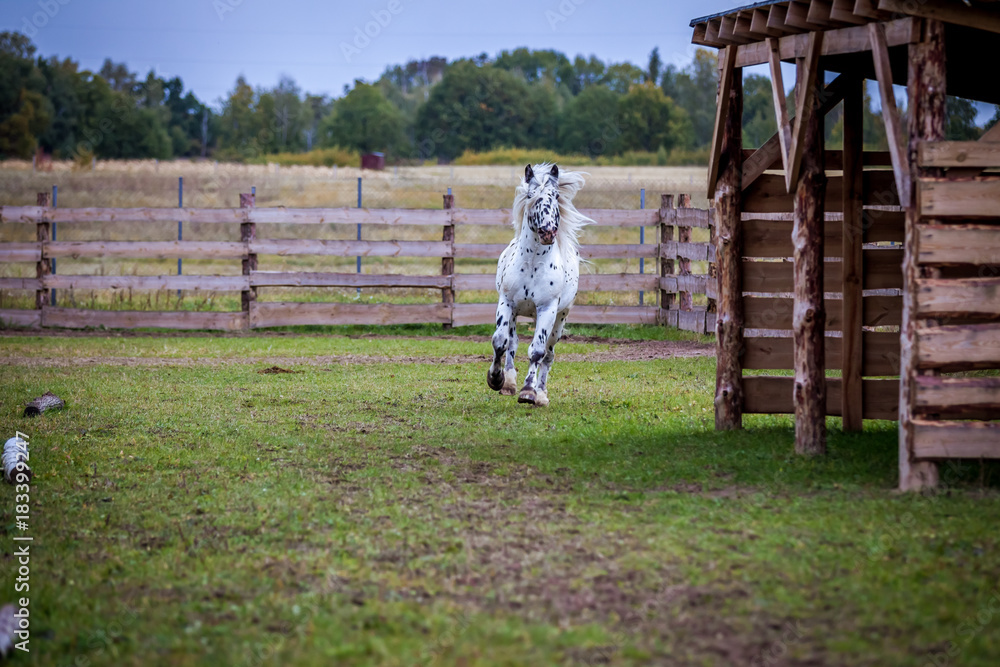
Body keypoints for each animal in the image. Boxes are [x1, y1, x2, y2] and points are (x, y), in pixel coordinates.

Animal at [487, 163, 591, 406]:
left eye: (556, 196)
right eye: (530, 195)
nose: (547, 232)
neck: (533, 263)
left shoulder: (547, 309)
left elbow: (537, 351)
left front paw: (529, 392)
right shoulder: (507, 303)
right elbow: (500, 342)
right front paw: (496, 379)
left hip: (559, 320)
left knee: (549, 354)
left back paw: (541, 394)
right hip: (517, 314)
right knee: (512, 343)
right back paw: (509, 383)